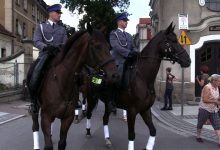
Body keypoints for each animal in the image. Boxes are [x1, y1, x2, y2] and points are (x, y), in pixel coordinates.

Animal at [26, 22, 119, 150]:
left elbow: (62, 143)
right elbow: (48, 145)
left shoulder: (67, 118)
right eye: (96, 46)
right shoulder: (45, 116)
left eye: (109, 47)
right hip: (36, 108)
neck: (62, 81)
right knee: (35, 125)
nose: (114, 74)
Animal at [82, 22, 191, 150]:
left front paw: (148, 147)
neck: (143, 77)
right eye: (170, 41)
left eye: (177, 40)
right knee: (89, 114)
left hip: (108, 103)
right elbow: (131, 135)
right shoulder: (132, 111)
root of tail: (92, 70)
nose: (188, 60)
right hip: (91, 98)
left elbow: (153, 131)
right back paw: (88, 131)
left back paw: (107, 140)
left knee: (105, 119)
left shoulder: (145, 110)